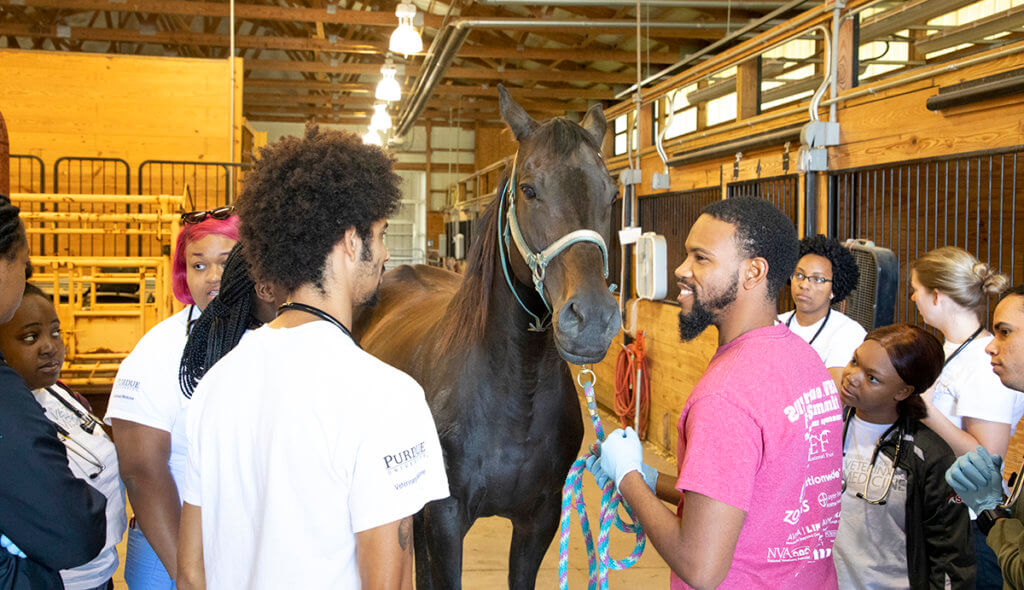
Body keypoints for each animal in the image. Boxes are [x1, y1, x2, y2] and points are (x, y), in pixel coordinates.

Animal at [356, 87, 618, 590]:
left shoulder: (539, 522)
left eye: (612, 194)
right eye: (529, 190)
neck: (515, 394)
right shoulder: (446, 518)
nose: (593, 318)